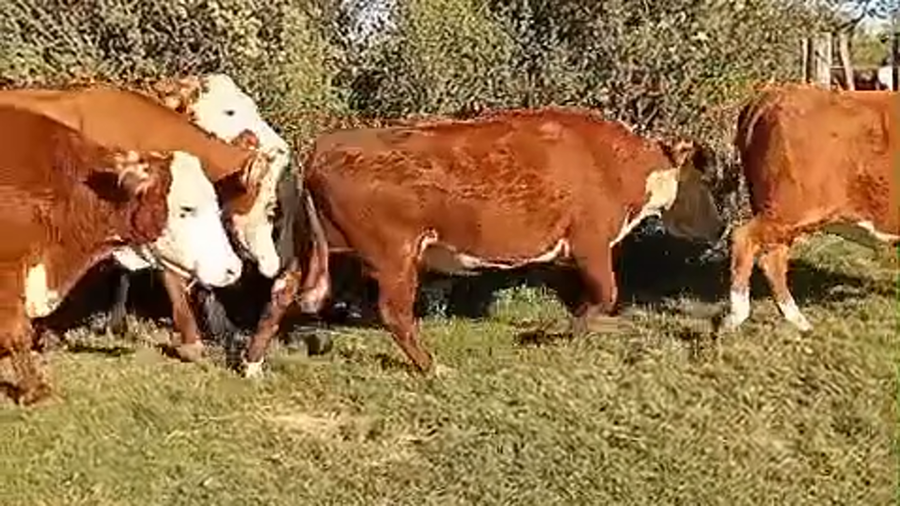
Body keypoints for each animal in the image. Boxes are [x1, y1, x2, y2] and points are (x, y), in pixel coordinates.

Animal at [238, 107, 725, 376]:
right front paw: (554, 334)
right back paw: (433, 368)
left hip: (320, 248)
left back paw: (252, 364)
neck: (616, 164)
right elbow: (606, 294)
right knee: (394, 312)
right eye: (703, 182)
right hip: (395, 253)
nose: (721, 227)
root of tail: (326, 145)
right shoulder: (590, 240)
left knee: (282, 291)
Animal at [720, 85, 898, 333]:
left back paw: (798, 321)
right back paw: (736, 316)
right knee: (743, 238)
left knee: (772, 259)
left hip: (783, 217)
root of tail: (773, 94)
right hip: (788, 208)